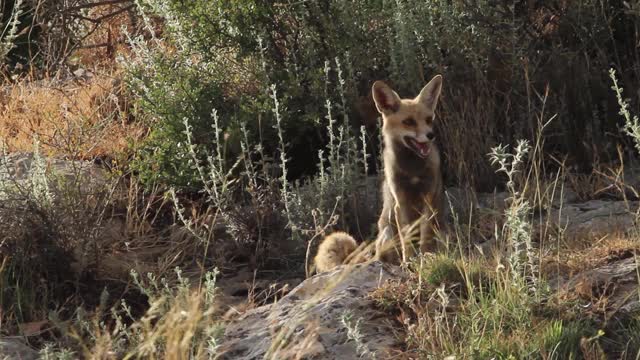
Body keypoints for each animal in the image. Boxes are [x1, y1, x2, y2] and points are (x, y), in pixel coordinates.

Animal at [316, 75, 444, 272]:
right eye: (409, 122)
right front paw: (410, 261)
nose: (431, 135)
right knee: (385, 257)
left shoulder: (428, 199)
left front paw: (427, 257)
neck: (413, 171)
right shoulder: (401, 201)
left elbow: (425, 235)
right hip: (387, 230)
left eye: (429, 119)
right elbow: (407, 240)